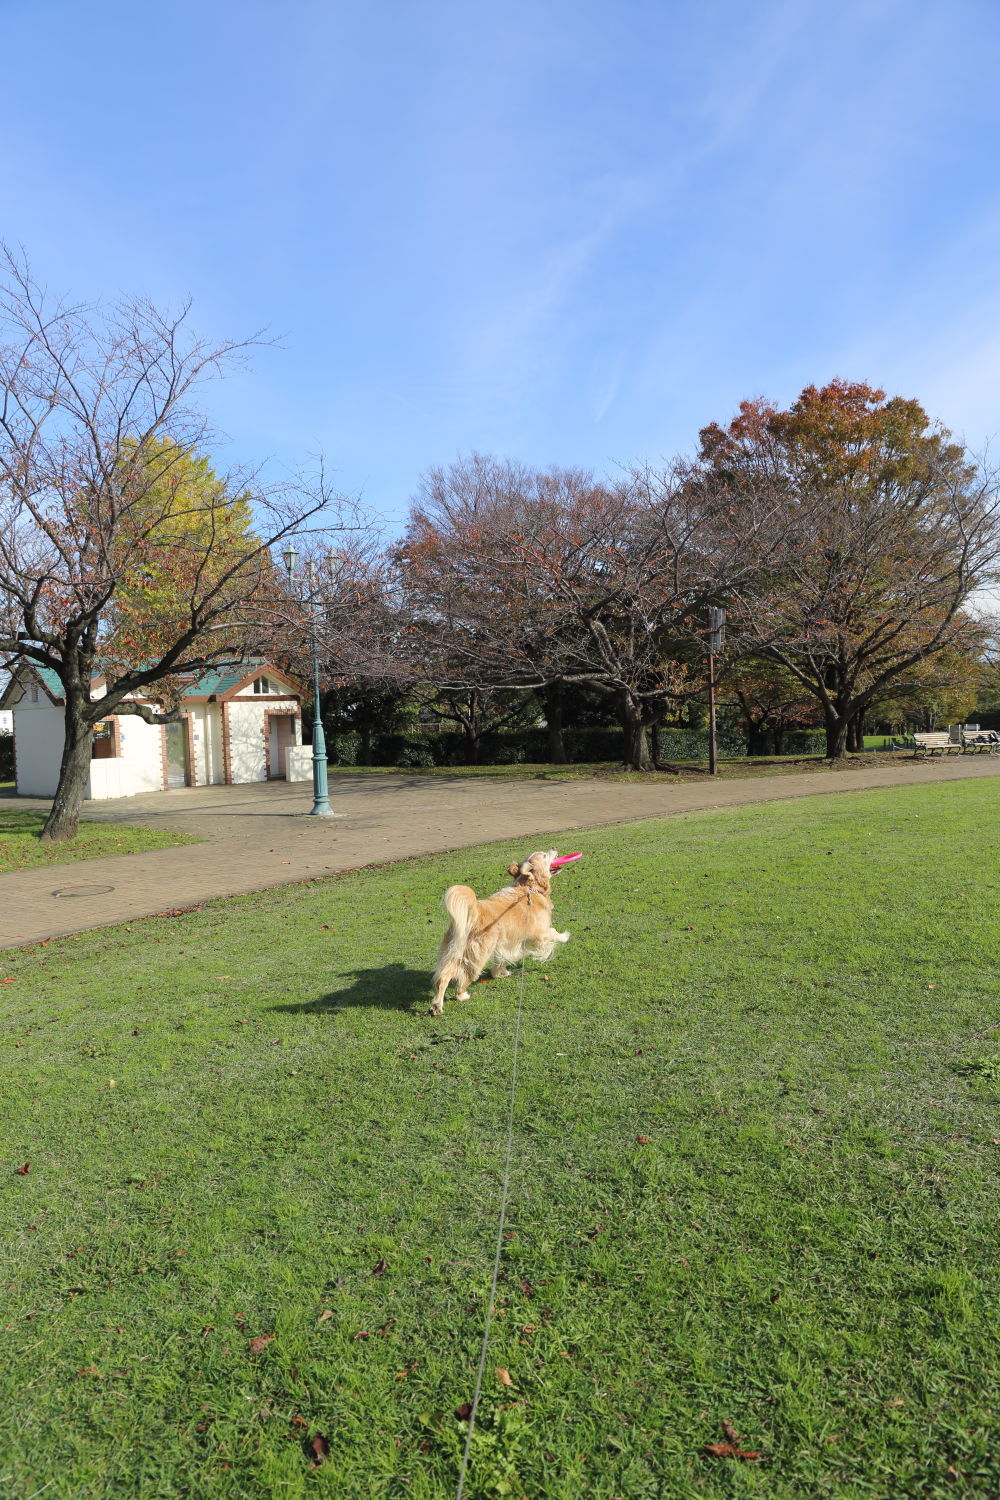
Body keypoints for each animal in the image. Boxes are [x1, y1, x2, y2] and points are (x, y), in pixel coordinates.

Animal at [431, 846, 569, 1020]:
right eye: (544, 855)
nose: (554, 848)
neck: (530, 888)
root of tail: (473, 912)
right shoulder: (540, 934)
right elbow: (553, 933)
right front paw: (565, 936)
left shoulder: (504, 943)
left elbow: (501, 960)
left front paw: (500, 973)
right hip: (477, 955)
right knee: (463, 976)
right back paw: (461, 996)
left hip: (452, 951)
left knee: (443, 977)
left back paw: (437, 1005)